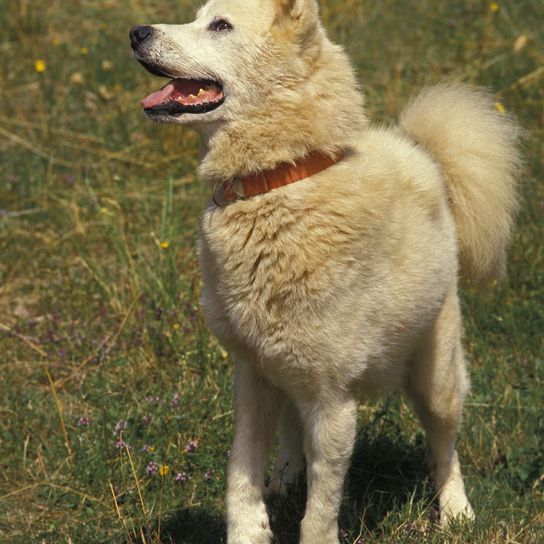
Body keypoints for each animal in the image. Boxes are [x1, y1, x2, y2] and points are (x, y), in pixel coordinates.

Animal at [130, 1, 520, 540]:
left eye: (221, 25)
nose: (135, 33)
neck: (279, 179)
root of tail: (423, 155)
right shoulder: (252, 376)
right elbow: (239, 474)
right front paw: (251, 528)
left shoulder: (332, 400)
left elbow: (321, 507)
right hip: (287, 373)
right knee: (292, 431)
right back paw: (284, 479)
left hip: (435, 377)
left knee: (445, 448)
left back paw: (456, 511)